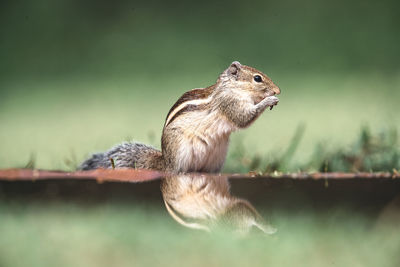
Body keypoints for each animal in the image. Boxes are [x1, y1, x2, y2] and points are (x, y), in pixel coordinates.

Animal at [79, 61, 282, 174]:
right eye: (257, 78)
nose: (278, 90)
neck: (230, 88)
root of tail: (165, 162)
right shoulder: (229, 103)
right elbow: (243, 118)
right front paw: (269, 100)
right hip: (180, 152)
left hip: (218, 157)